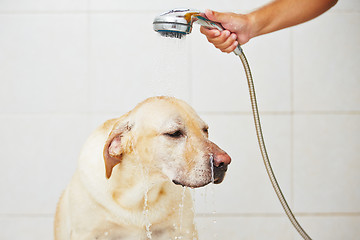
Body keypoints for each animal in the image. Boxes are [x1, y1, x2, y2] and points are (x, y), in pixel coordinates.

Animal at [54, 96, 232, 239]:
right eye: (174, 133)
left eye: (205, 130)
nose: (225, 162)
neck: (138, 193)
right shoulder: (86, 233)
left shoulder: (184, 230)